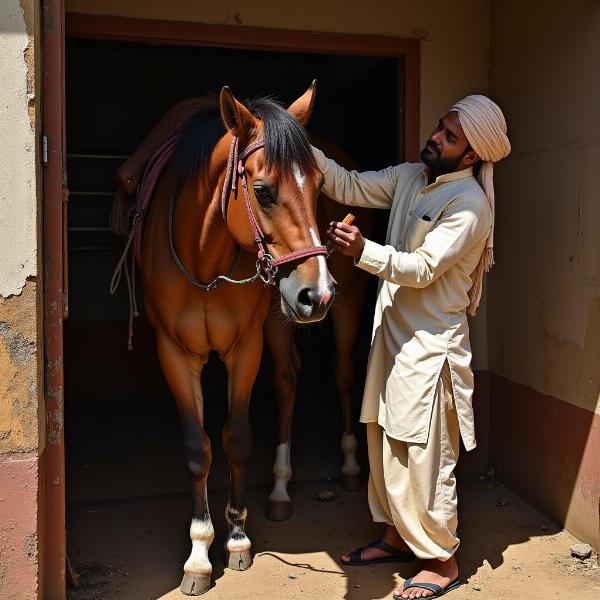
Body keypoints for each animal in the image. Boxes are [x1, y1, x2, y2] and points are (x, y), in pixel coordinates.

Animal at [139, 84, 338, 596]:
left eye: (319, 185)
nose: (318, 293)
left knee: (298, 380)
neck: (204, 262)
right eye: (262, 190)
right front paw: (198, 555)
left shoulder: (246, 349)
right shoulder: (174, 354)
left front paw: (237, 538)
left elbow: (238, 438)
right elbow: (198, 450)